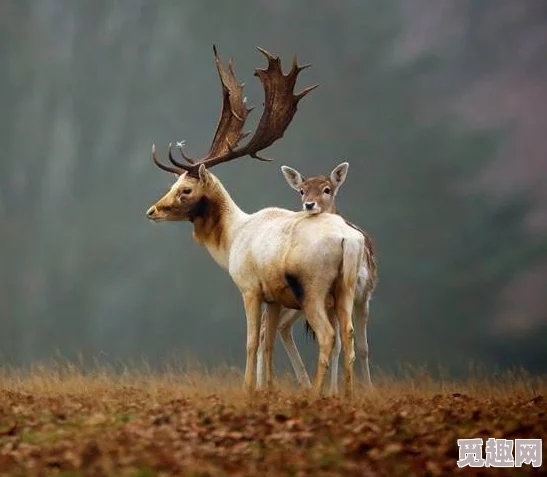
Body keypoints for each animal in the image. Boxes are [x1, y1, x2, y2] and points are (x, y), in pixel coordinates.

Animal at [146, 46, 364, 396]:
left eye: (185, 189)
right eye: (173, 183)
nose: (152, 211)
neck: (232, 239)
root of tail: (349, 239)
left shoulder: (249, 287)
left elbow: (251, 341)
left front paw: (248, 387)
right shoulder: (274, 296)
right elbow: (267, 342)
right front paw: (268, 388)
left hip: (313, 288)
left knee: (328, 336)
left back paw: (315, 394)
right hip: (345, 288)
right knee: (349, 336)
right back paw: (345, 394)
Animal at [256, 162, 376, 392]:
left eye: (327, 189)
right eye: (301, 190)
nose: (309, 204)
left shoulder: (365, 295)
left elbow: (362, 347)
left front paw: (366, 390)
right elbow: (338, 344)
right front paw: (333, 391)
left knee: (280, 328)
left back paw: (302, 383)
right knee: (267, 328)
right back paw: (261, 386)